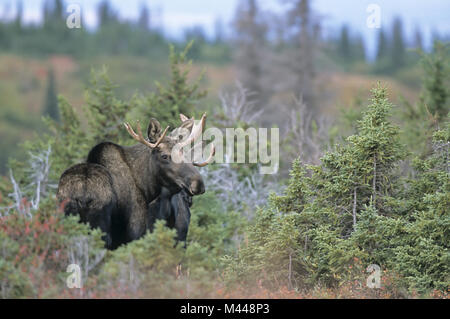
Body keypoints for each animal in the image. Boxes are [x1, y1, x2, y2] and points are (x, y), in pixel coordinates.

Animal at [57, 113, 215, 250]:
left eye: (188, 155)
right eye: (164, 156)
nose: (198, 184)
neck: (147, 189)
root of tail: (81, 196)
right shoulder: (135, 234)